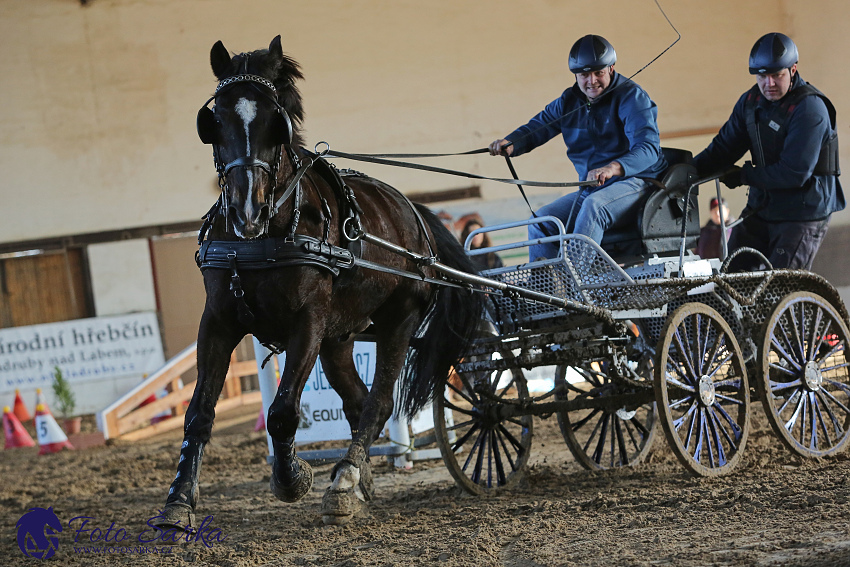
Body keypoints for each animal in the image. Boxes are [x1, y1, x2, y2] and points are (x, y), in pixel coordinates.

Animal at [156, 34, 480, 524]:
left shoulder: (307, 321)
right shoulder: (218, 319)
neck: (269, 232)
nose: (246, 212)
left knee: (379, 402)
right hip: (339, 337)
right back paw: (357, 480)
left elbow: (283, 411)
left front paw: (293, 479)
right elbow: (199, 410)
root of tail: (415, 214)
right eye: (216, 119)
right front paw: (177, 501)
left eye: (277, 122)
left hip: (397, 322)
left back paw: (343, 482)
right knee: (358, 400)